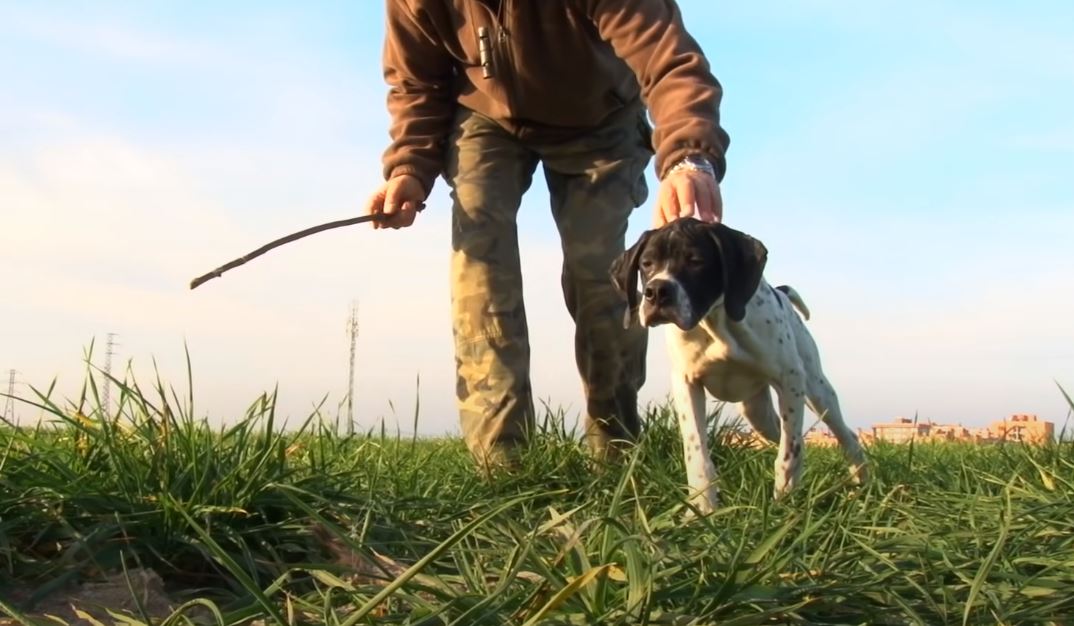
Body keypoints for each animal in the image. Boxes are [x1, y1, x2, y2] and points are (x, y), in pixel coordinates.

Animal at [610, 217, 867, 511]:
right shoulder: (686, 385)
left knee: (845, 437)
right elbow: (697, 454)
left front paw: (785, 503)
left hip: (818, 392)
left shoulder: (790, 380)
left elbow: (789, 454)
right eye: (647, 264)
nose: (656, 292)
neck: (714, 322)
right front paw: (702, 510)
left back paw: (863, 485)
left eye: (695, 260)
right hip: (758, 414)